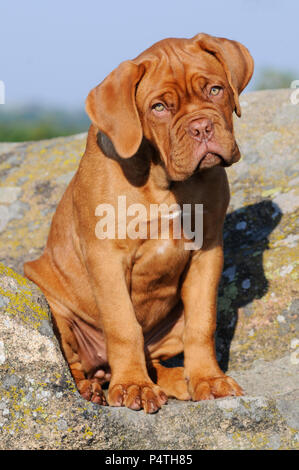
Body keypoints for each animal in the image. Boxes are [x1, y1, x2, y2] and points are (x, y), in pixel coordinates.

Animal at [25, 33, 254, 414]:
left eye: (216, 90)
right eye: (158, 107)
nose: (201, 128)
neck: (164, 182)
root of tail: (102, 367)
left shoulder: (207, 252)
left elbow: (202, 323)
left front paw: (209, 379)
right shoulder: (107, 257)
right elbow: (123, 325)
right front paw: (134, 385)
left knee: (156, 358)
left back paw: (178, 380)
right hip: (55, 308)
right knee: (74, 363)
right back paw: (91, 388)